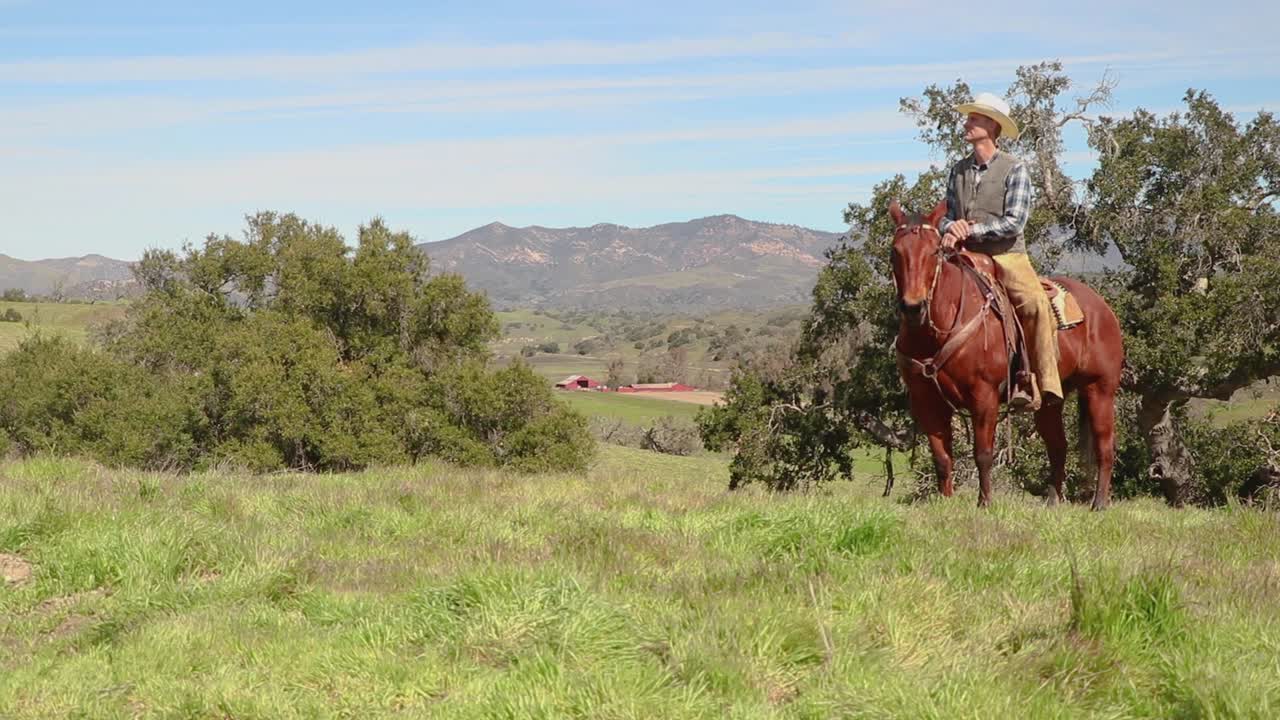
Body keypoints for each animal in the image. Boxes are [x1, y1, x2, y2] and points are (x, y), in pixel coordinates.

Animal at [888, 199, 1125, 510]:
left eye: (934, 251)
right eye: (895, 251)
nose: (913, 307)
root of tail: (1102, 308)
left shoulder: (984, 395)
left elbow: (983, 453)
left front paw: (985, 503)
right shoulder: (925, 399)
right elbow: (941, 457)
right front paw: (945, 502)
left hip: (1100, 390)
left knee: (1104, 446)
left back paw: (1099, 502)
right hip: (1049, 400)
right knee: (1058, 447)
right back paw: (1052, 501)